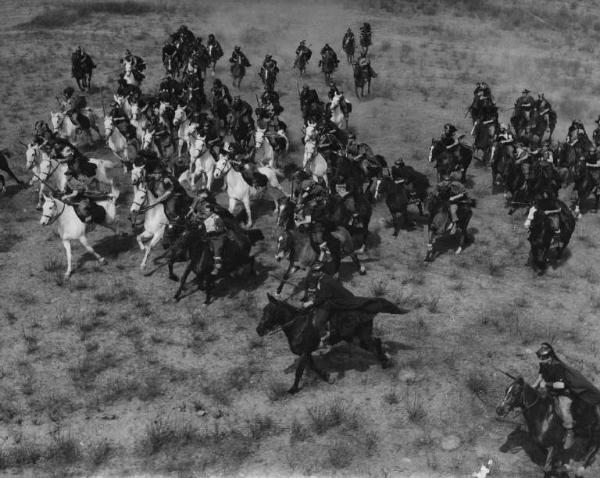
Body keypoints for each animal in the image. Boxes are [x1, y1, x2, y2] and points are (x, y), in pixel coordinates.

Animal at [255, 294, 406, 394]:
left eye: (268, 311)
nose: (258, 330)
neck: (298, 325)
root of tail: (367, 311)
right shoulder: (308, 352)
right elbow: (313, 367)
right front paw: (327, 377)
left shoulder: (304, 352)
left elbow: (299, 371)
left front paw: (293, 389)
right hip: (357, 338)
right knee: (377, 342)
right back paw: (385, 360)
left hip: (362, 337)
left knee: (376, 344)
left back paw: (385, 362)